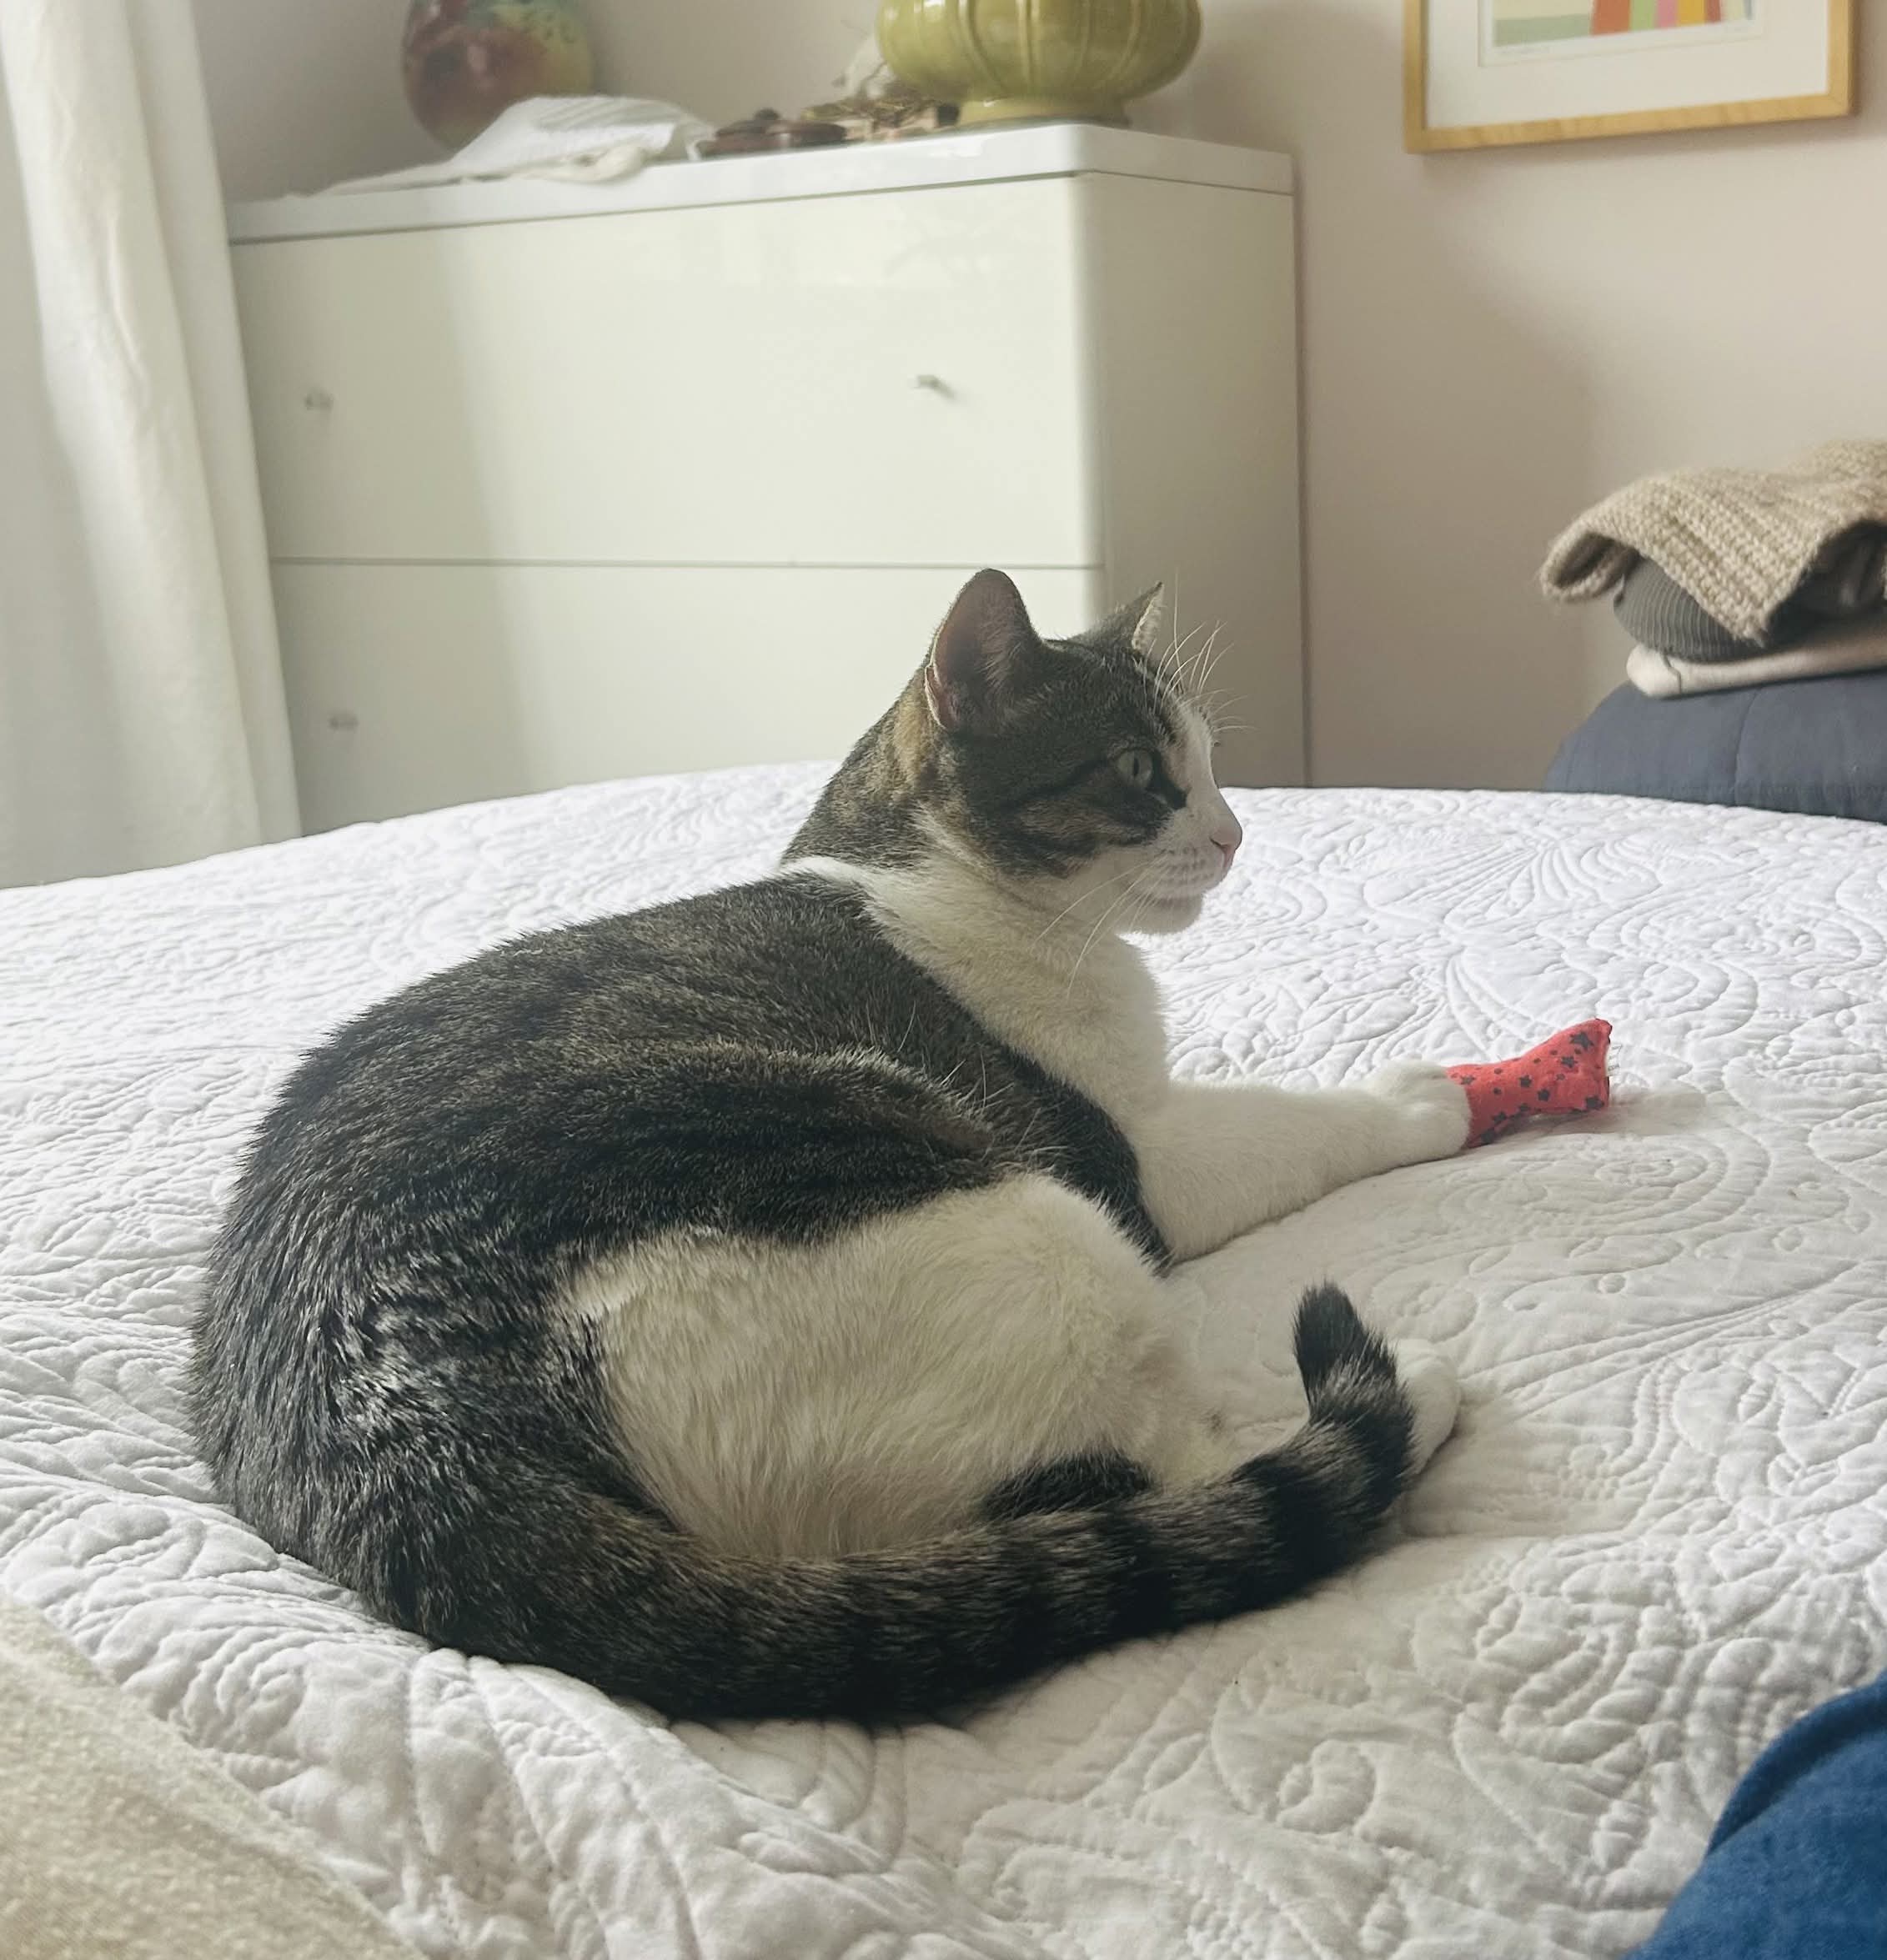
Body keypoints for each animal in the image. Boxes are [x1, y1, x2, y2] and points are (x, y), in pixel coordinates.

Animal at [191, 569, 1469, 1723]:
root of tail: (404, 1432)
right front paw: (1429, 1097)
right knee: (1173, 1476)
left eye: (1206, 763)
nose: (1232, 830)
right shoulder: (1136, 1156)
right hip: (1034, 1227)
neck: (919, 879)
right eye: (1140, 772)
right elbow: (1289, 1121)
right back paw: (1409, 1389)